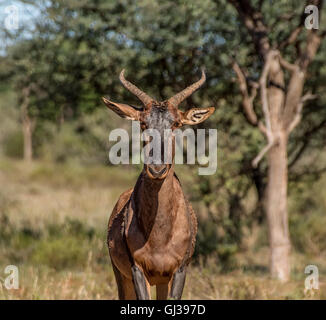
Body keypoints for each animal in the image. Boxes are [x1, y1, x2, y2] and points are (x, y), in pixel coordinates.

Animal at [104, 68, 214, 300]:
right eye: (143, 123)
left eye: (176, 124)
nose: (157, 169)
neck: (159, 236)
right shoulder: (137, 270)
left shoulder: (179, 270)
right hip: (121, 275)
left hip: (161, 281)